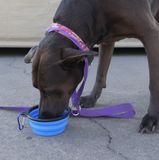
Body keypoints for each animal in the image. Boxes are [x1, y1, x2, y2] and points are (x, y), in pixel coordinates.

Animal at [24, 0, 159, 133]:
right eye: (37, 88)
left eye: (51, 91)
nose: (42, 117)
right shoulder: (107, 39)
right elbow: (100, 74)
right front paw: (92, 98)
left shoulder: (151, 34)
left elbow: (153, 84)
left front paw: (152, 117)